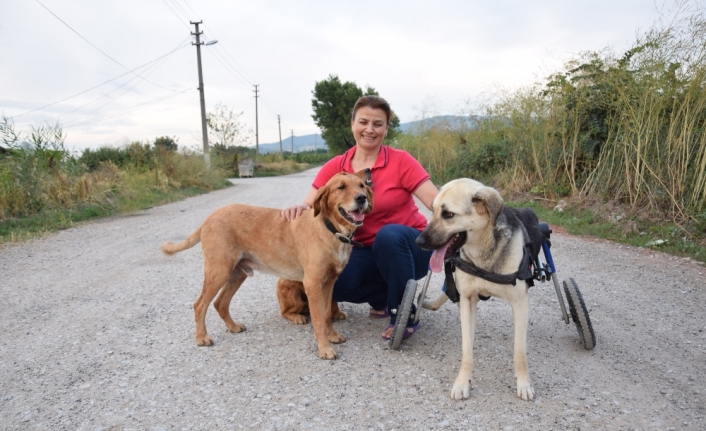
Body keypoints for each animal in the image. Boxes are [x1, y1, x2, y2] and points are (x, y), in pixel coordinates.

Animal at [158, 170, 368, 360]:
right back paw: (202, 337)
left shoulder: (329, 282)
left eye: (362, 185)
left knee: (220, 303)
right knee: (200, 304)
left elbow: (326, 314)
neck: (330, 229)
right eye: (341, 187)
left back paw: (233, 327)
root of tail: (210, 217)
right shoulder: (313, 284)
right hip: (219, 272)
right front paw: (324, 349)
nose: (362, 198)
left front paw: (331, 337)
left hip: (237, 274)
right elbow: (318, 319)